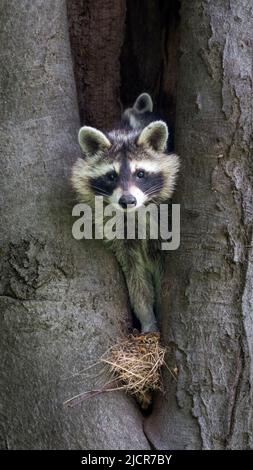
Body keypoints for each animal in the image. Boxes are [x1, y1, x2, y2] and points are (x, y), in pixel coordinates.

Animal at [71, 93, 180, 332]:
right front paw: (147, 317)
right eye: (111, 176)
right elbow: (135, 277)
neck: (133, 213)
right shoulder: (120, 236)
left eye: (140, 173)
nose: (127, 201)